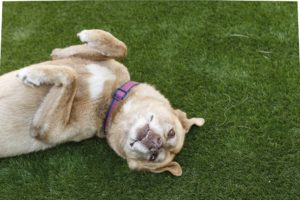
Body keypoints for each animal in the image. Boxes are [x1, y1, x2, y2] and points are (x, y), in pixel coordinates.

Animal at [0, 28, 204, 176]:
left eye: (153, 157)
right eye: (171, 133)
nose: (155, 143)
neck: (110, 102)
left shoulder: (46, 130)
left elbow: (71, 77)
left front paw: (32, 75)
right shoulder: (58, 55)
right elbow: (122, 48)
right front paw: (91, 35)